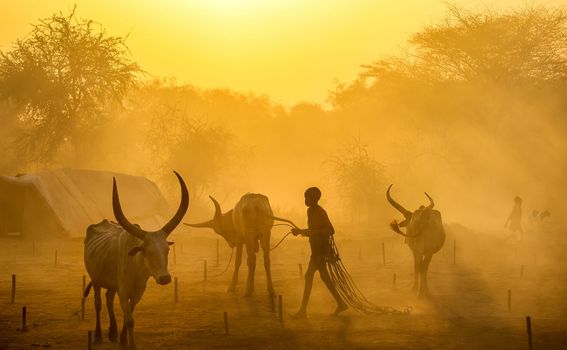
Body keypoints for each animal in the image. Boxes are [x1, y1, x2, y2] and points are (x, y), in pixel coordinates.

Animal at [83, 171, 189, 348]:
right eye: (148, 251)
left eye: (167, 250)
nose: (165, 278)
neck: (136, 269)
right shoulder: (124, 291)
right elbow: (129, 320)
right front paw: (130, 345)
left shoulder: (137, 292)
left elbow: (129, 317)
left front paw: (123, 339)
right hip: (96, 280)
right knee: (98, 303)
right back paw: (98, 336)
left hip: (112, 284)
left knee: (109, 298)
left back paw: (112, 333)